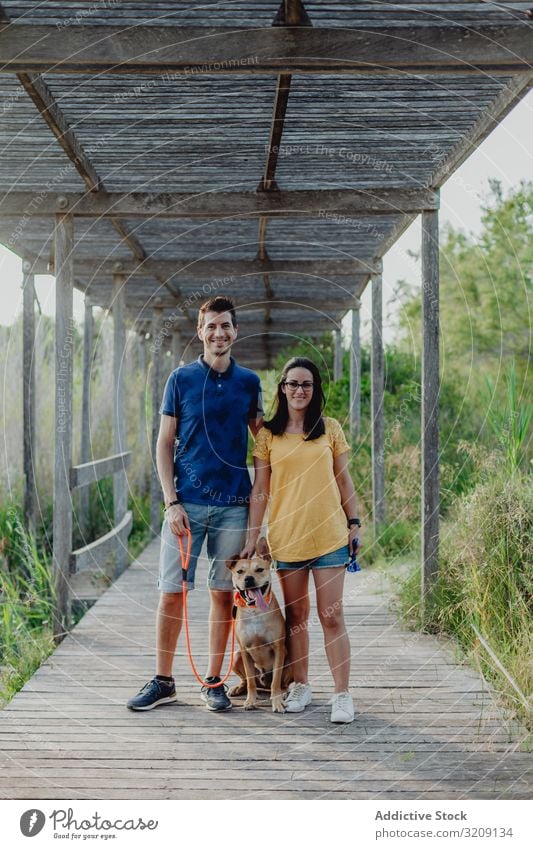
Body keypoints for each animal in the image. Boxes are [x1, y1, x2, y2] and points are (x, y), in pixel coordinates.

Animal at [225, 536, 290, 708]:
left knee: (281, 683)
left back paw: (284, 692)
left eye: (259, 569)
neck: (255, 611)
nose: (248, 579)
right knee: (247, 680)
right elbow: (250, 681)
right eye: (240, 572)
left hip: (289, 657)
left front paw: (277, 702)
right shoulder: (244, 650)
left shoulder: (278, 647)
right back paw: (238, 688)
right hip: (236, 656)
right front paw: (250, 701)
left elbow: (276, 680)